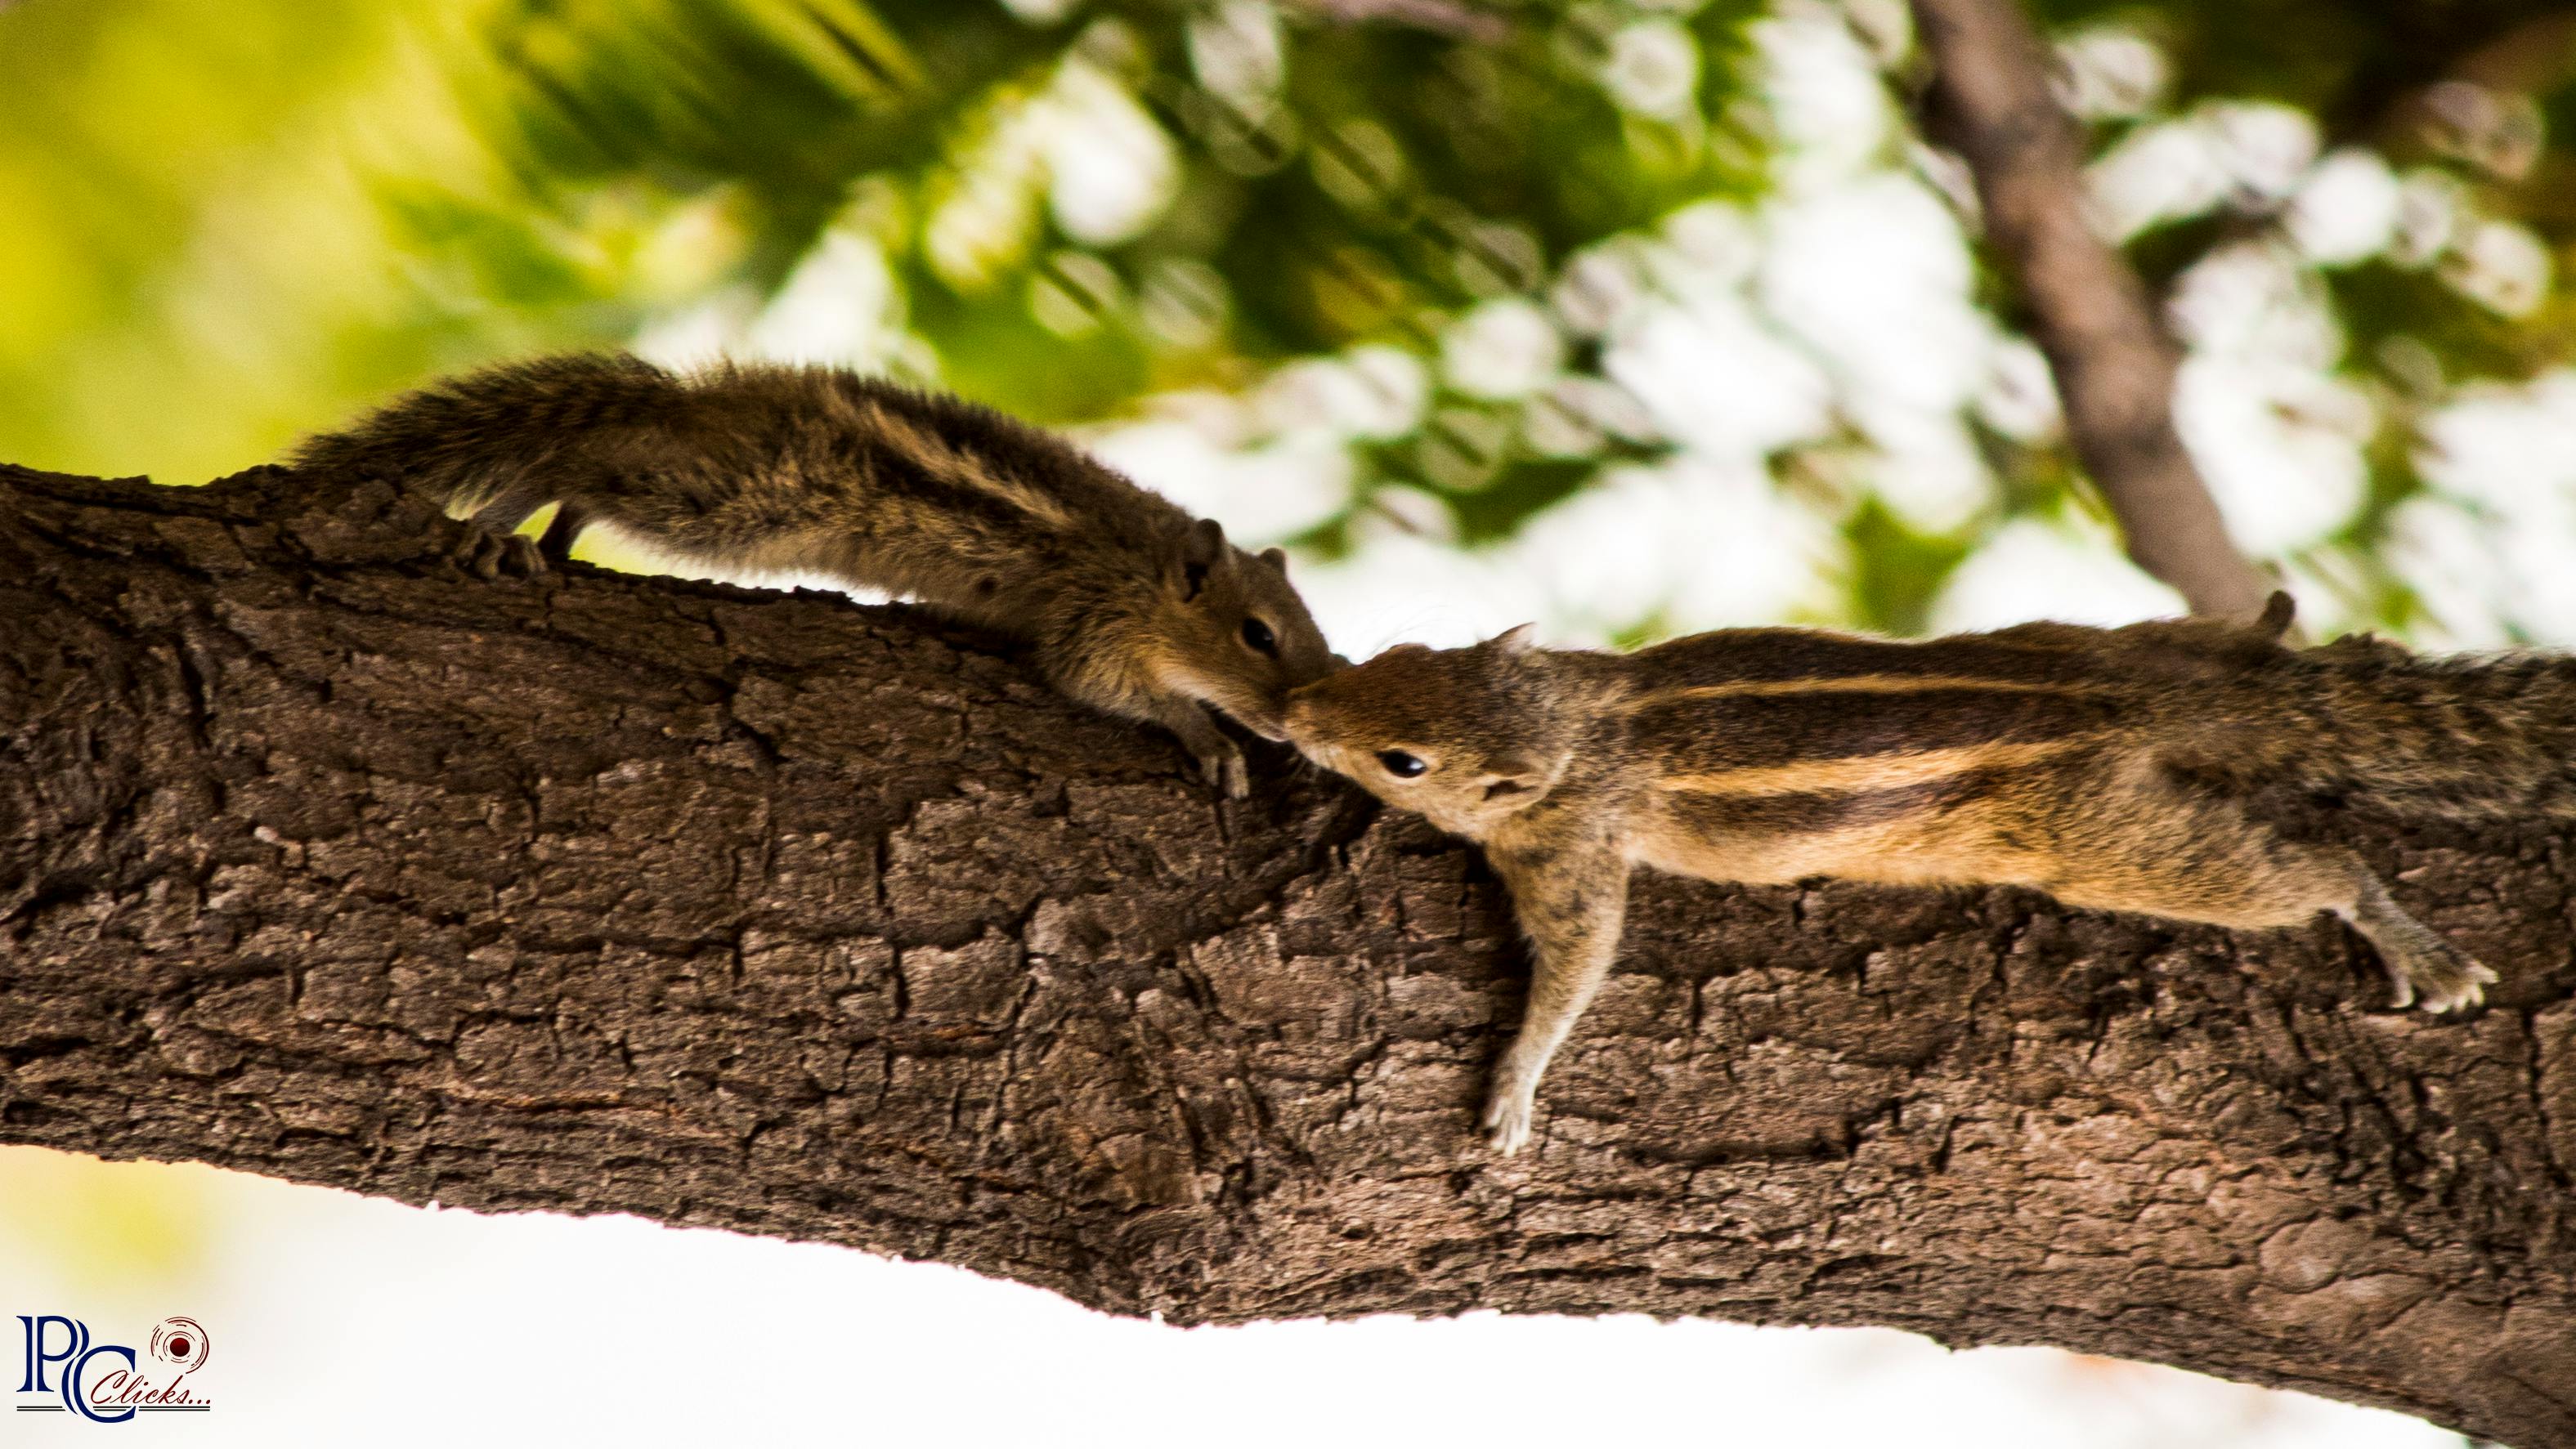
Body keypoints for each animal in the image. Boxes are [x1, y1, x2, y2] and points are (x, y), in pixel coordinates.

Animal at [298, 355, 1339, 798]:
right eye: (1257, 634)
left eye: (1325, 644)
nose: (1294, 721)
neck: (1151, 570)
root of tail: (693, 401)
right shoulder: (1099, 618)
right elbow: (1108, 687)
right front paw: (1206, 734)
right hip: (735, 498)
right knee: (575, 462)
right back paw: (508, 523)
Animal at [1277, 592, 2545, 1158]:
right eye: (1399, 652)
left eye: (1404, 761)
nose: (1294, 711)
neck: (1578, 724)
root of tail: (2117, 704)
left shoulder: (1575, 850)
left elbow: (1577, 963)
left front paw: (1514, 1087)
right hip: (2102, 639)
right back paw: (2264, 624)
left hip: (2103, 841)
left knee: (2312, 869)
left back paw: (2404, 937)